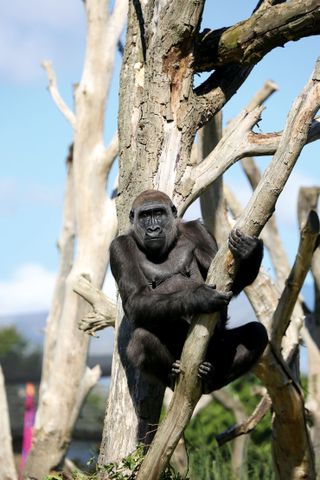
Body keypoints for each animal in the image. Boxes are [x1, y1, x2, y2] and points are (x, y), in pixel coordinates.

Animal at [110, 189, 268, 392]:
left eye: (158, 213)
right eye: (144, 216)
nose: (153, 229)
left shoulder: (199, 230)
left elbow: (229, 278)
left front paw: (250, 250)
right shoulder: (119, 247)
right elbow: (135, 298)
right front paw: (199, 297)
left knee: (256, 334)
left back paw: (210, 377)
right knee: (141, 340)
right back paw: (171, 375)